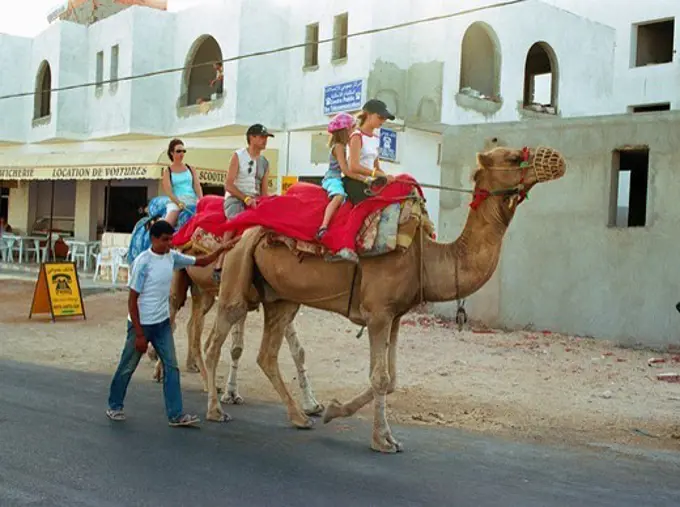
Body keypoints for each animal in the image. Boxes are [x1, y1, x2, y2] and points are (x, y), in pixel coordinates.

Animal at [151, 253, 324, 416]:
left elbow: (298, 351)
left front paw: (311, 404)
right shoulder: (240, 298)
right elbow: (236, 348)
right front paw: (231, 394)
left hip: (203, 291)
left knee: (191, 326)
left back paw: (191, 372)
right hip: (178, 280)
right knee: (173, 319)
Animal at [202, 146, 568, 452]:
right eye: (512, 157)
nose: (556, 159)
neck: (427, 256)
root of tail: (240, 233)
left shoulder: (395, 316)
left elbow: (392, 379)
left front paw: (334, 411)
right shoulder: (377, 313)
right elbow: (380, 378)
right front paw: (381, 440)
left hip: (282, 299)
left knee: (266, 353)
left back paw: (299, 417)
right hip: (237, 278)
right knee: (216, 341)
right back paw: (216, 409)